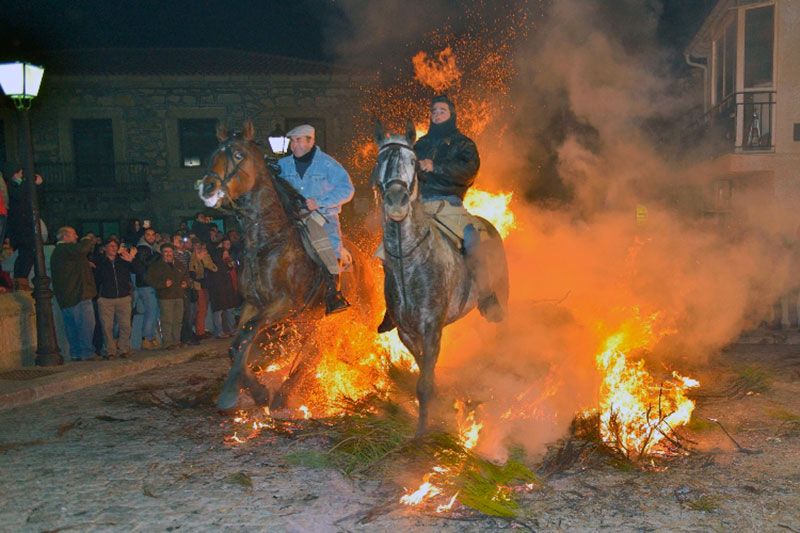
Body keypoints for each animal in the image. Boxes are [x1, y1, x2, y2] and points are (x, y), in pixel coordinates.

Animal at [198, 120, 376, 410]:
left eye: (238, 154)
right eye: (213, 154)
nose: (208, 187)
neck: (267, 243)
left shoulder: (285, 303)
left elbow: (248, 333)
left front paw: (231, 393)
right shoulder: (252, 304)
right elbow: (237, 343)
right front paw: (258, 391)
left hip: (362, 314)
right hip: (317, 321)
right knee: (314, 353)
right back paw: (285, 392)